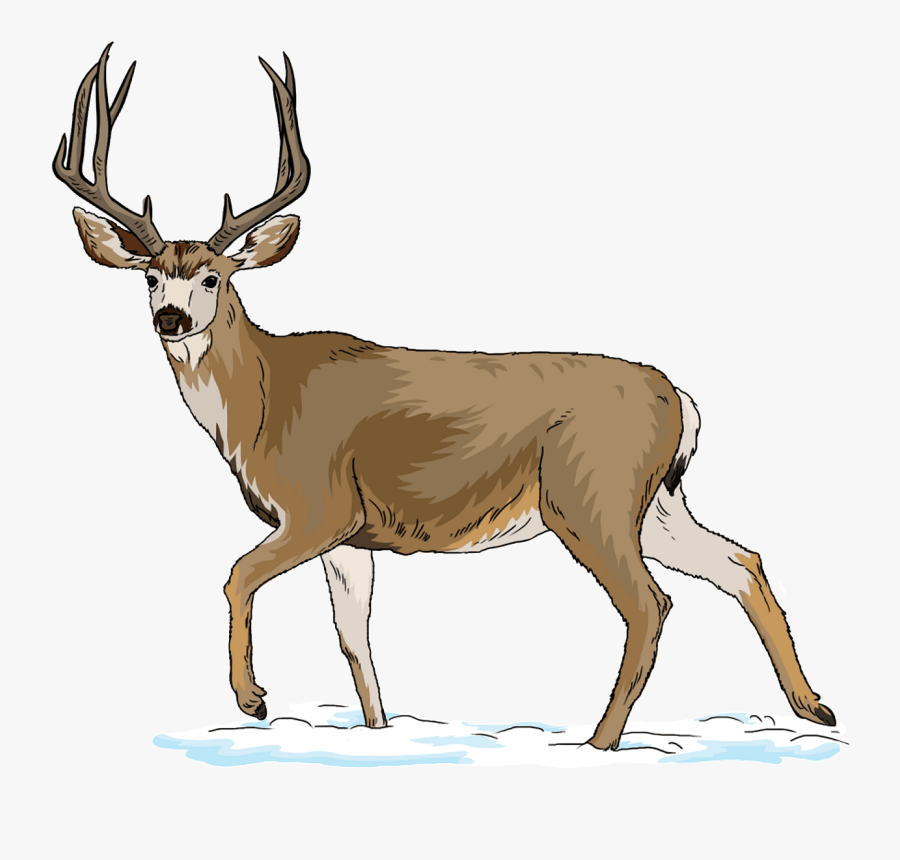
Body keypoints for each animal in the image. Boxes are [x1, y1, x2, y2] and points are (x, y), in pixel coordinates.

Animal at [53, 44, 835, 751]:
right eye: (150, 276)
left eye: (213, 276)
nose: (170, 319)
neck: (265, 399)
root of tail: (679, 396)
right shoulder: (350, 535)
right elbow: (355, 637)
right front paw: (378, 733)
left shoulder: (318, 504)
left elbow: (237, 574)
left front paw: (253, 700)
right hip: (657, 500)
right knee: (741, 563)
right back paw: (814, 707)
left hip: (589, 493)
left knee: (651, 604)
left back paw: (598, 743)